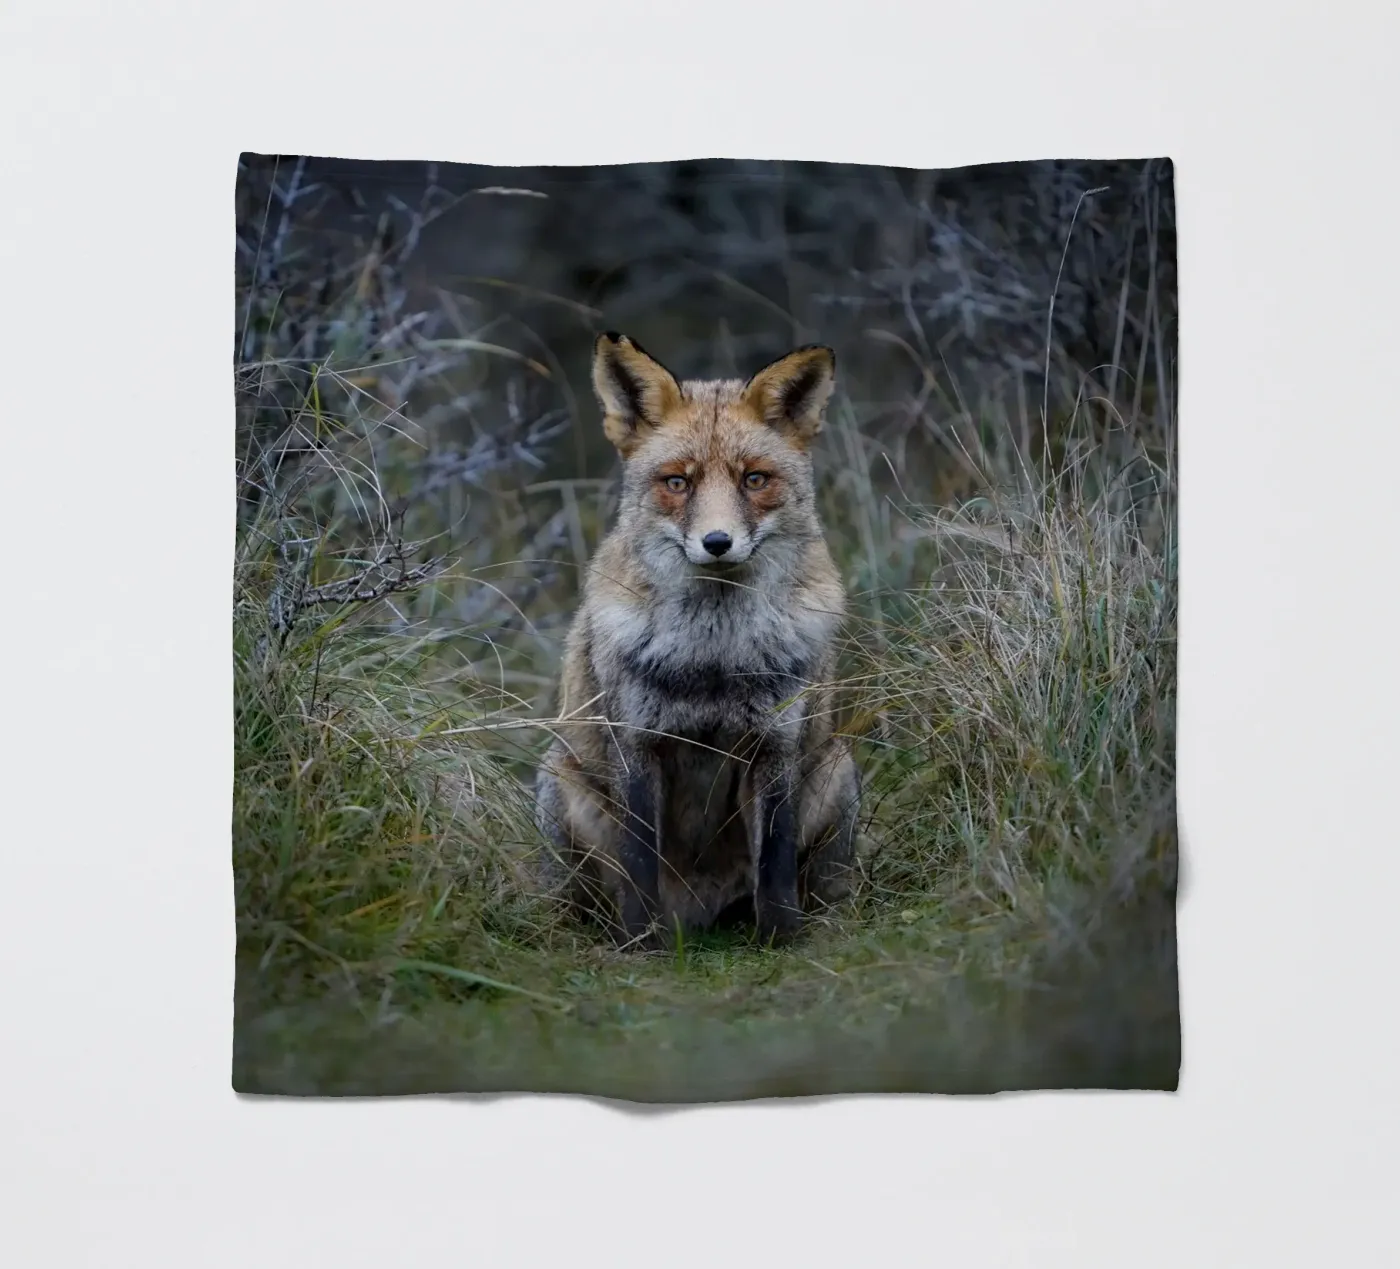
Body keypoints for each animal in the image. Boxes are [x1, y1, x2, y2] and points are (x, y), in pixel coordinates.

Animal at [533, 332, 862, 949]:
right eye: (677, 482)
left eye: (754, 479)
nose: (716, 542)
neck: (713, 657)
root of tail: (701, 914)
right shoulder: (637, 744)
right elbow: (640, 866)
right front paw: (644, 947)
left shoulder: (775, 743)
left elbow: (775, 865)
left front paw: (781, 940)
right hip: (559, 783)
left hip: (838, 765)